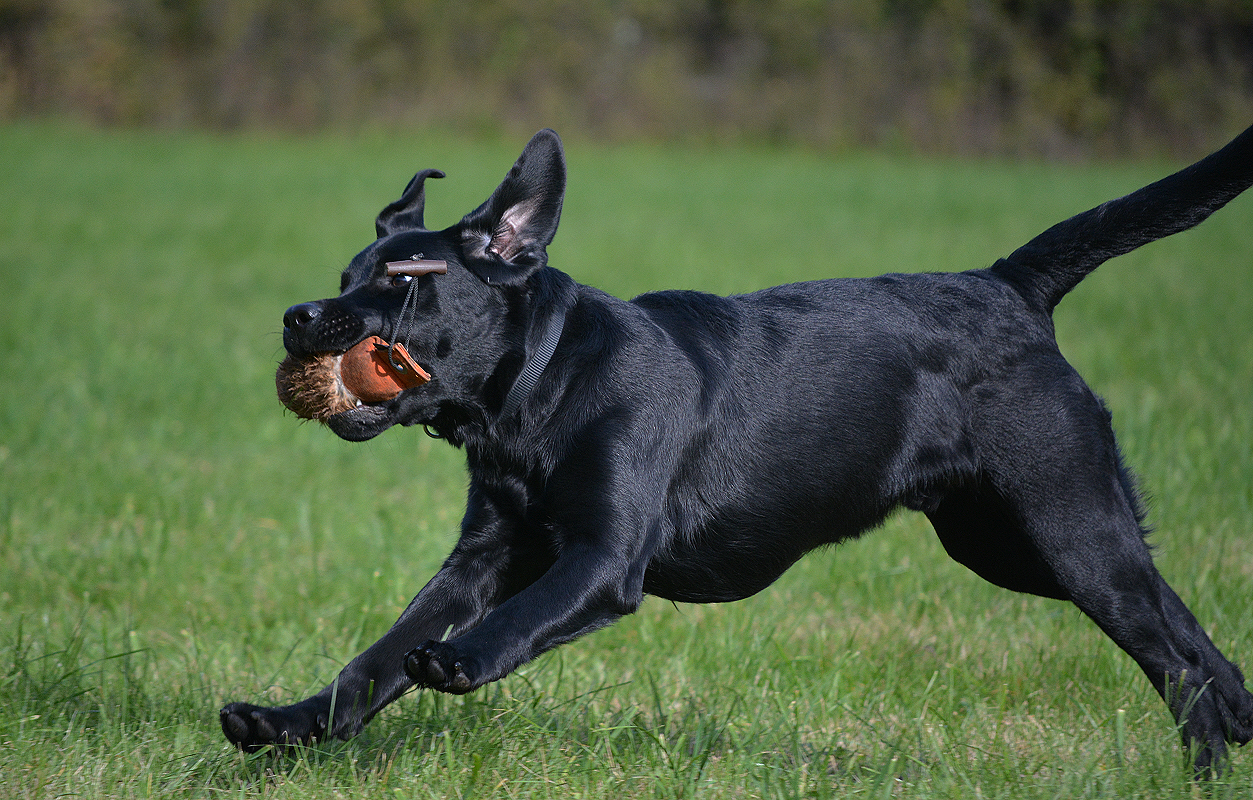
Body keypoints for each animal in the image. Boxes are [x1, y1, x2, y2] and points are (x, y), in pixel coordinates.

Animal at [225, 128, 1253, 772]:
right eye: (348, 274)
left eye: (406, 277)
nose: (299, 317)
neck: (537, 396)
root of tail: (1008, 287)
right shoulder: (480, 554)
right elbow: (378, 655)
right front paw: (285, 725)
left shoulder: (602, 559)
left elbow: (510, 620)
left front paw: (460, 660)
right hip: (1016, 541)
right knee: (1188, 636)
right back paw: (1240, 719)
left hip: (1060, 519)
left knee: (1176, 665)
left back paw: (1203, 766)